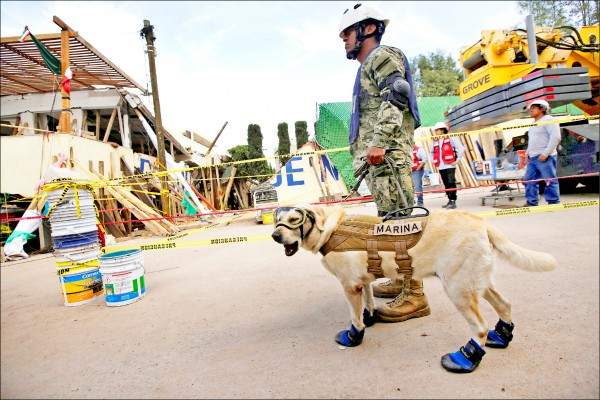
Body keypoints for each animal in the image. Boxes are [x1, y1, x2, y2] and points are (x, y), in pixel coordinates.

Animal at [272, 205, 556, 374]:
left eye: (294, 219)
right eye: (276, 221)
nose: (275, 236)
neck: (331, 228)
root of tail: (481, 223)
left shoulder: (349, 285)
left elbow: (354, 317)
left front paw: (354, 336)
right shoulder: (362, 281)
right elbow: (369, 302)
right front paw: (370, 317)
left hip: (458, 289)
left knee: (479, 327)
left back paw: (465, 358)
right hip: (477, 282)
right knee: (504, 305)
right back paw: (501, 336)